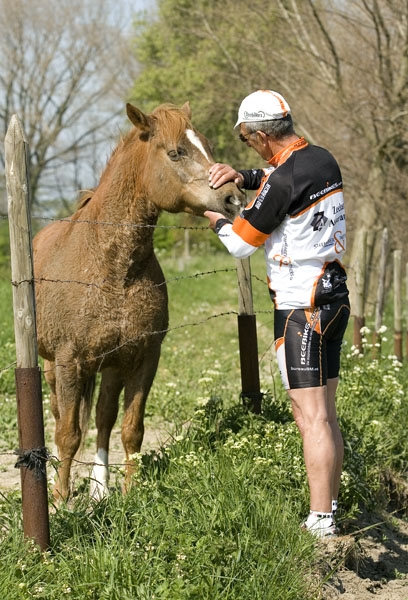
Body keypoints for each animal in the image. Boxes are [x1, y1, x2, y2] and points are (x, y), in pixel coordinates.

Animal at [33, 103, 244, 502]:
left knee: (103, 417)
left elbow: (130, 429)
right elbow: (68, 434)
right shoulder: (69, 361)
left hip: (112, 366)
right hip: (54, 365)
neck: (114, 269)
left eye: (207, 146)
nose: (233, 198)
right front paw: (61, 500)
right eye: (176, 152)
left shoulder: (144, 357)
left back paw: (100, 489)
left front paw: (131, 494)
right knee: (58, 414)